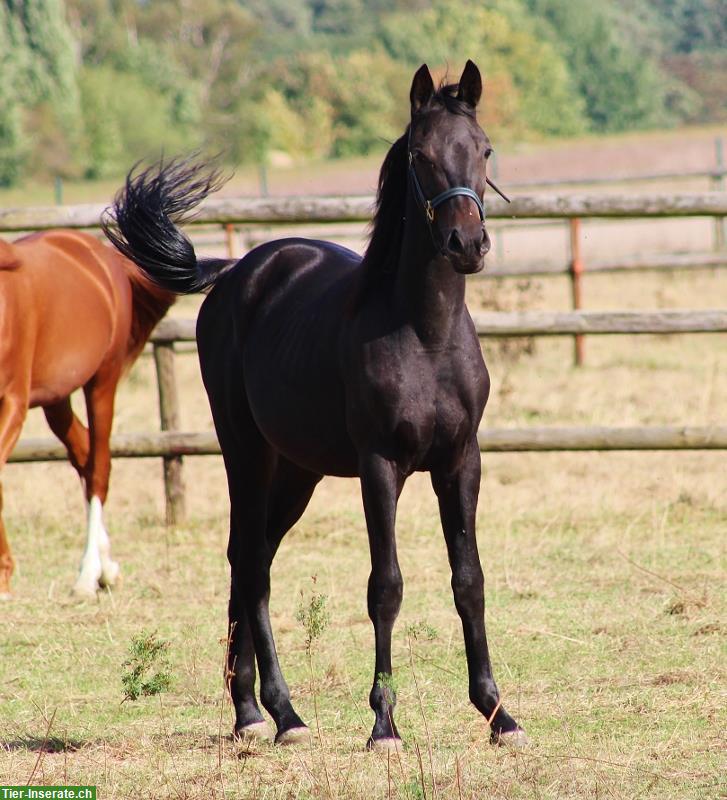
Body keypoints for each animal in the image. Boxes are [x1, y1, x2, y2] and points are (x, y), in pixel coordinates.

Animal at [0, 228, 175, 596]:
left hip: (102, 381)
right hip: (57, 398)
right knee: (83, 455)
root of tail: (97, 250)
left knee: (99, 468)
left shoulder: (13, 402)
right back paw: (106, 569)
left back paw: (88, 572)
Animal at [105, 61, 528, 752]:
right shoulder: (381, 468)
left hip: (297, 472)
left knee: (249, 560)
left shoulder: (461, 462)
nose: (466, 243)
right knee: (251, 564)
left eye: (484, 149)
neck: (425, 333)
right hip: (246, 454)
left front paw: (499, 714)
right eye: (420, 154)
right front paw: (384, 725)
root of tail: (236, 274)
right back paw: (277, 714)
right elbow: (386, 587)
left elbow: (470, 581)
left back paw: (251, 709)